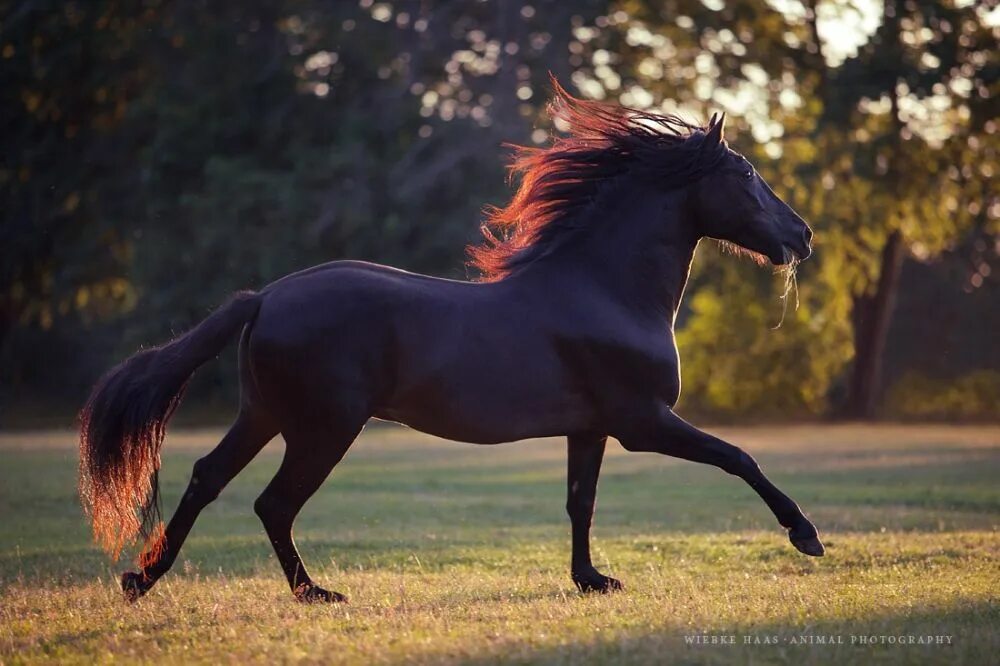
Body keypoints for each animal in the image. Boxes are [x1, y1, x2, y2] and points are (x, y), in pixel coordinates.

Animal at [82, 81, 824, 600]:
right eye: (747, 176)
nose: (803, 235)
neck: (606, 290)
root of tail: (264, 298)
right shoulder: (643, 421)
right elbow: (737, 456)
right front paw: (806, 535)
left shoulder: (590, 427)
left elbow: (579, 502)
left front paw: (591, 580)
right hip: (322, 427)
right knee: (273, 503)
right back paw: (314, 593)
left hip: (264, 414)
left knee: (208, 478)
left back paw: (141, 580)